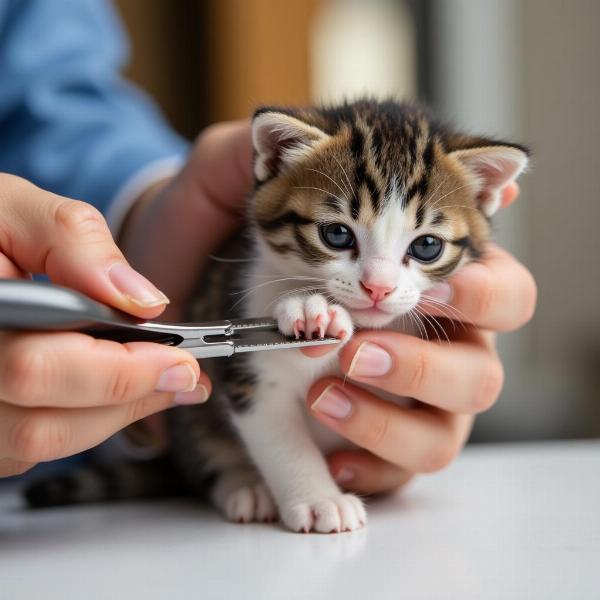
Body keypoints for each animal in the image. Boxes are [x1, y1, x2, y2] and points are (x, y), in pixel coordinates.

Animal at [25, 99, 528, 536]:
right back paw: (244, 487)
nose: (378, 288)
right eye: (337, 234)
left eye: (426, 246)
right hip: (190, 420)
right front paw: (319, 498)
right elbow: (280, 435)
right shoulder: (248, 370)